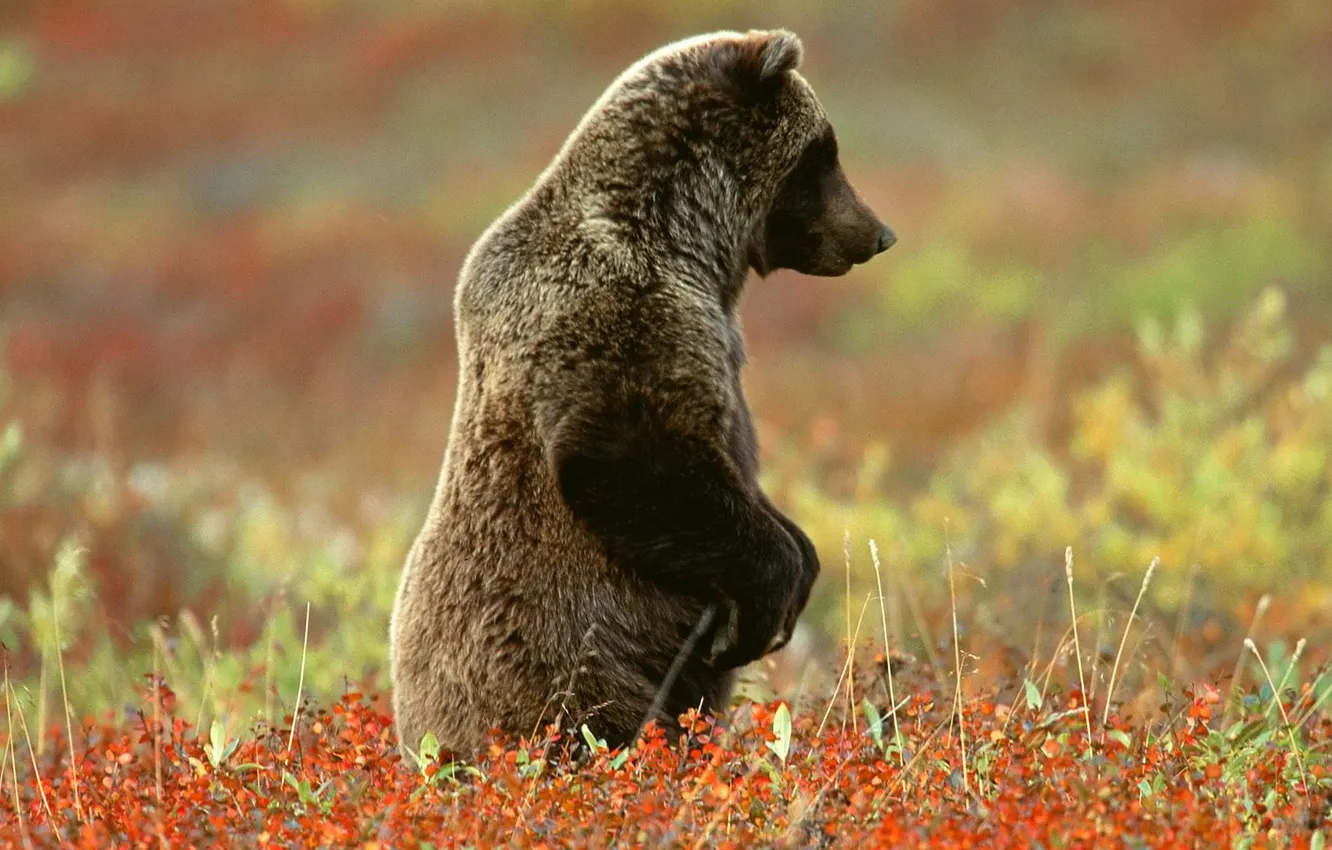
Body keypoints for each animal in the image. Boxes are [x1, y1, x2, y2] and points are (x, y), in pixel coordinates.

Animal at [389, 28, 894, 758]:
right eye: (822, 154)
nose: (878, 233)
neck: (688, 244)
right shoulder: (621, 316)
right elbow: (625, 454)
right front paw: (768, 604)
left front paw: (803, 558)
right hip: (570, 663)